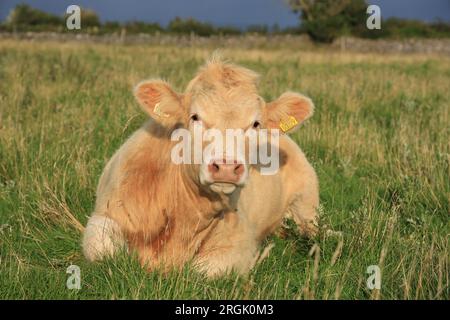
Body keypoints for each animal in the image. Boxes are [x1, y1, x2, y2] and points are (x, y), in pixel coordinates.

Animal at [81, 58, 320, 278]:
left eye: (256, 124)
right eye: (195, 117)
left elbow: (201, 270)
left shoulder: (240, 244)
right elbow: (106, 251)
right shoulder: (103, 217)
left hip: (307, 208)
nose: (226, 166)